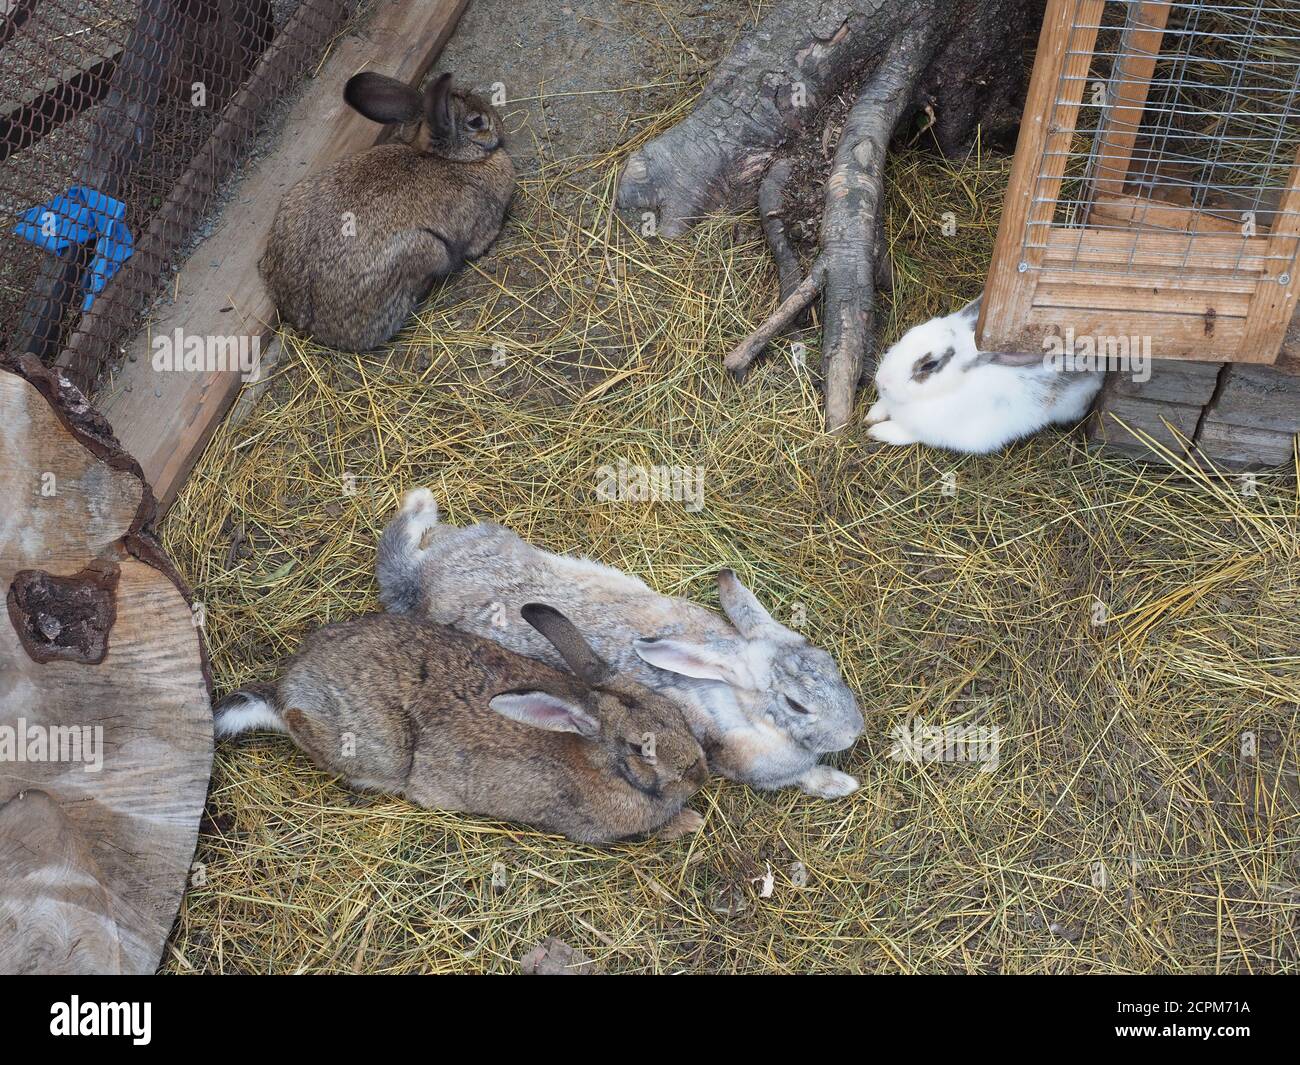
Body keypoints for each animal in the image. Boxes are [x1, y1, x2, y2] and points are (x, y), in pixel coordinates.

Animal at [213, 604, 709, 844]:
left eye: (675, 713)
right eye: (640, 749)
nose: (700, 775)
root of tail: (286, 689)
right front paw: (691, 822)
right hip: (375, 747)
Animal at [376, 489, 864, 799]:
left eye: (827, 662)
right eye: (797, 704)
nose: (855, 731)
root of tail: (421, 582)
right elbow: (801, 779)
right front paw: (840, 785)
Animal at [866, 298, 1104, 454]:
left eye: (929, 365)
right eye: (909, 333)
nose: (881, 382)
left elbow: (908, 433)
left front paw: (877, 431)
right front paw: (872, 415)